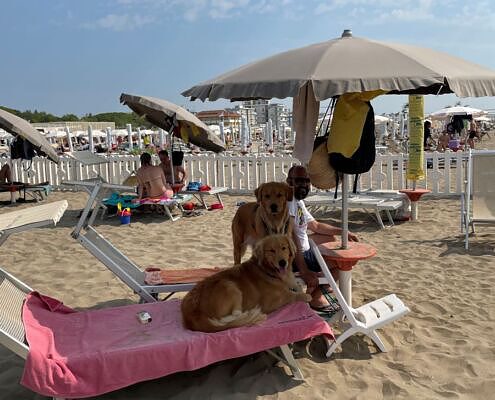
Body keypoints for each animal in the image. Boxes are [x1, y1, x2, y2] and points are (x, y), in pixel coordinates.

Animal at [182, 236, 310, 332]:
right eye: (271, 250)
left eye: (284, 248)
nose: (282, 263)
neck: (267, 270)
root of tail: (190, 315)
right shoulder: (270, 303)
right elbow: (291, 295)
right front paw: (305, 296)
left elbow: (296, 286)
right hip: (229, 285)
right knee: (231, 316)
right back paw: (250, 314)